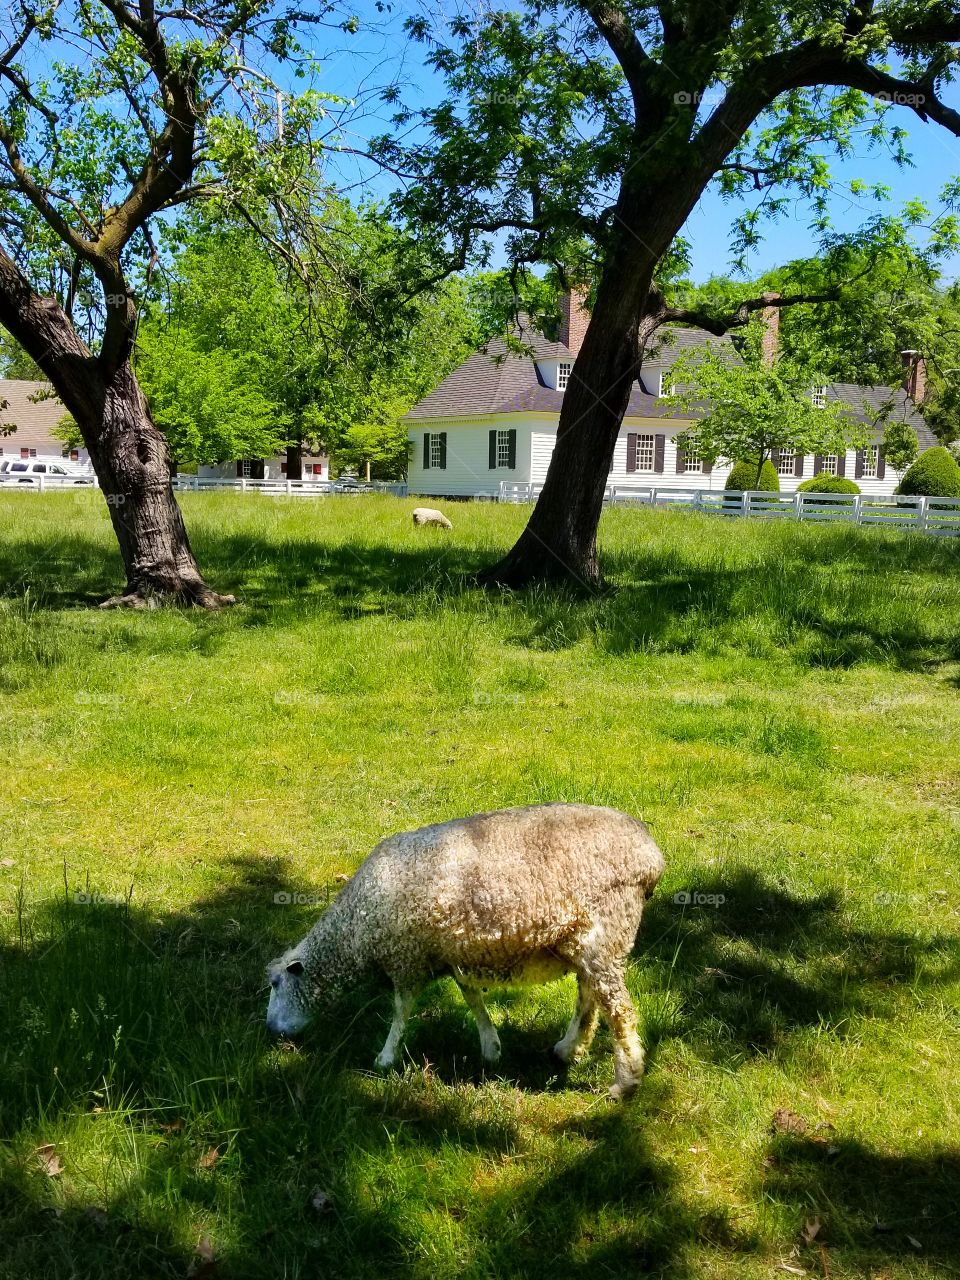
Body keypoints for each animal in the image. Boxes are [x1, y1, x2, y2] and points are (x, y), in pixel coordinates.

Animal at [266, 802, 664, 1098]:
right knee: (588, 997)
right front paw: (491, 1047)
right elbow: (471, 997)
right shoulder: (451, 954)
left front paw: (385, 1057)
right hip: (583, 940)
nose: (271, 1030)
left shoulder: (406, 959)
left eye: (275, 984)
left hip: (606, 931)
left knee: (619, 1009)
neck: (356, 929)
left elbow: (400, 1011)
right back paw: (568, 1049)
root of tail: (651, 854)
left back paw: (624, 1083)